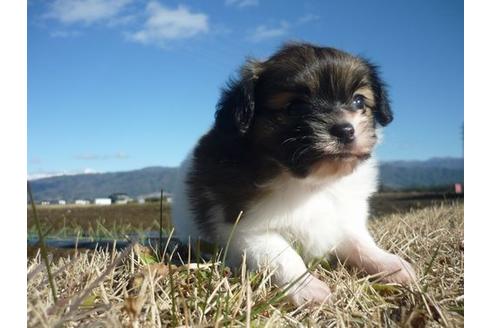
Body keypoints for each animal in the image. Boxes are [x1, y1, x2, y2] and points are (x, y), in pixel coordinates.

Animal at [172, 43, 416, 304]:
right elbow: (283, 256)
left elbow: (360, 243)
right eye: (295, 107)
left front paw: (391, 264)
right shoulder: (246, 230)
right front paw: (308, 288)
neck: (313, 183)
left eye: (359, 101)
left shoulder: (343, 218)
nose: (345, 130)